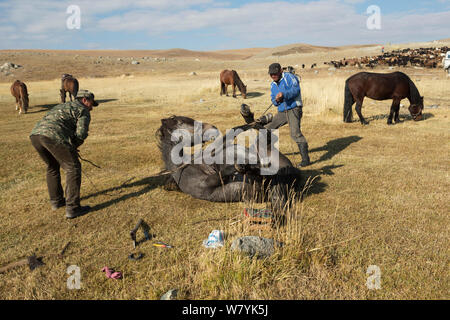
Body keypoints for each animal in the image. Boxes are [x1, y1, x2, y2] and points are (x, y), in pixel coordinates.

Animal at [156, 115, 302, 210]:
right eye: (181, 122)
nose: (213, 128)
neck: (184, 167)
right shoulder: (206, 184)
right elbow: (226, 171)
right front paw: (245, 165)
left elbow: (230, 135)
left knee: (268, 136)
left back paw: (251, 117)